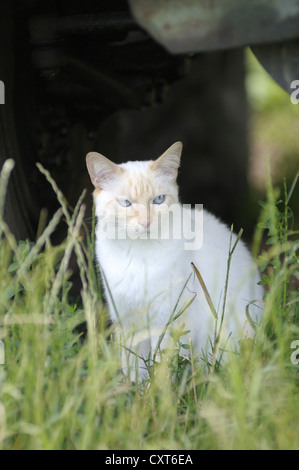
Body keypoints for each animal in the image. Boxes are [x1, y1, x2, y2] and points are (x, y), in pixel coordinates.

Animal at [85, 141, 264, 380]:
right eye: (126, 203)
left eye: (158, 200)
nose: (146, 222)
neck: (139, 255)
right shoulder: (128, 321)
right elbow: (134, 368)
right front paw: (134, 390)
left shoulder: (167, 322)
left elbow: (161, 368)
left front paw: (156, 390)